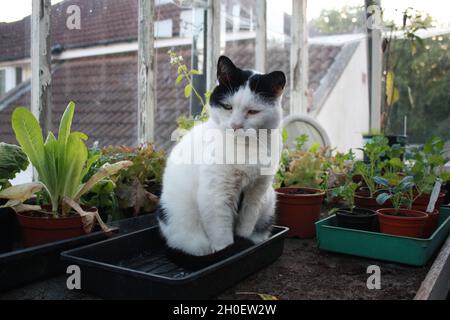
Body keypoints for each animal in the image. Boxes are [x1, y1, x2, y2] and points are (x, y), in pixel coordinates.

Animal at [158, 55, 284, 255]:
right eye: (227, 106)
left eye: (253, 111)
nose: (235, 125)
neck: (244, 149)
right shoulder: (216, 194)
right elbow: (222, 237)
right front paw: (228, 250)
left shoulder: (256, 191)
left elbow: (246, 225)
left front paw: (244, 242)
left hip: (270, 200)